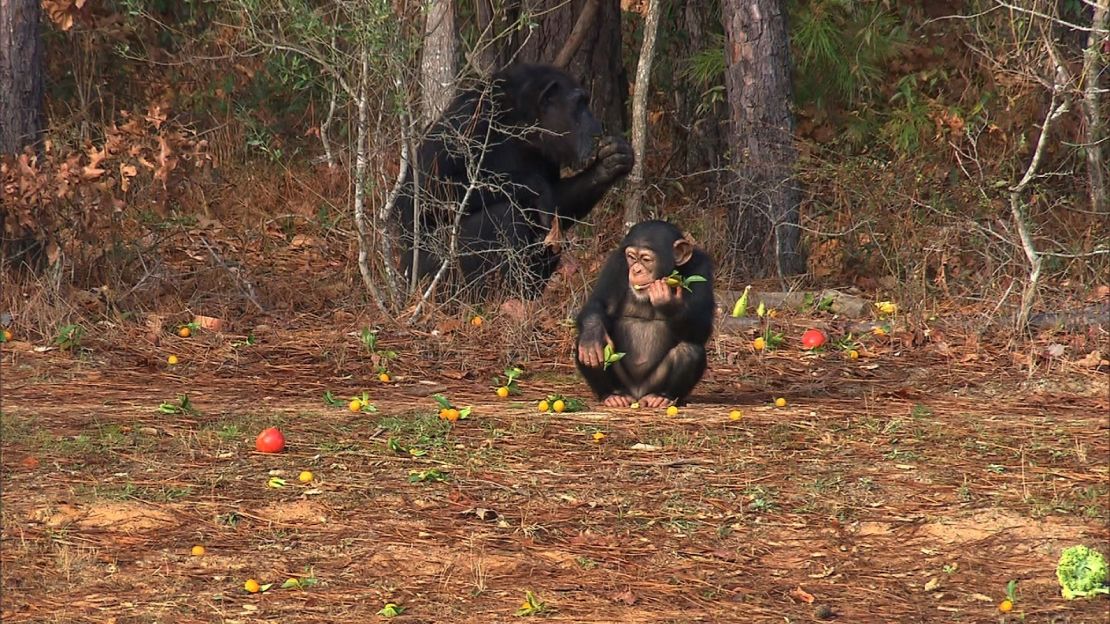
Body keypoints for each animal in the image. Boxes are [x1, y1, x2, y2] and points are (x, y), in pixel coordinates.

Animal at [397, 64, 634, 297]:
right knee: (502, 215)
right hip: (430, 280)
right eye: (580, 104)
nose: (596, 125)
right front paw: (535, 186)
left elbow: (557, 208)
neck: (520, 124)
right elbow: (424, 193)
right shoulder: (465, 121)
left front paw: (609, 164)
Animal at [577, 219, 714, 408]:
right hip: (624, 384)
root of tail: (637, 394)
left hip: (653, 383)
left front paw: (668, 302)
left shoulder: (702, 268)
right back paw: (612, 394)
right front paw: (592, 337)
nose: (636, 270)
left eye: (646, 259)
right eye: (631, 257)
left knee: (690, 349)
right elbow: (599, 302)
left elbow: (702, 326)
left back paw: (663, 396)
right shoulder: (616, 263)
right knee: (586, 345)